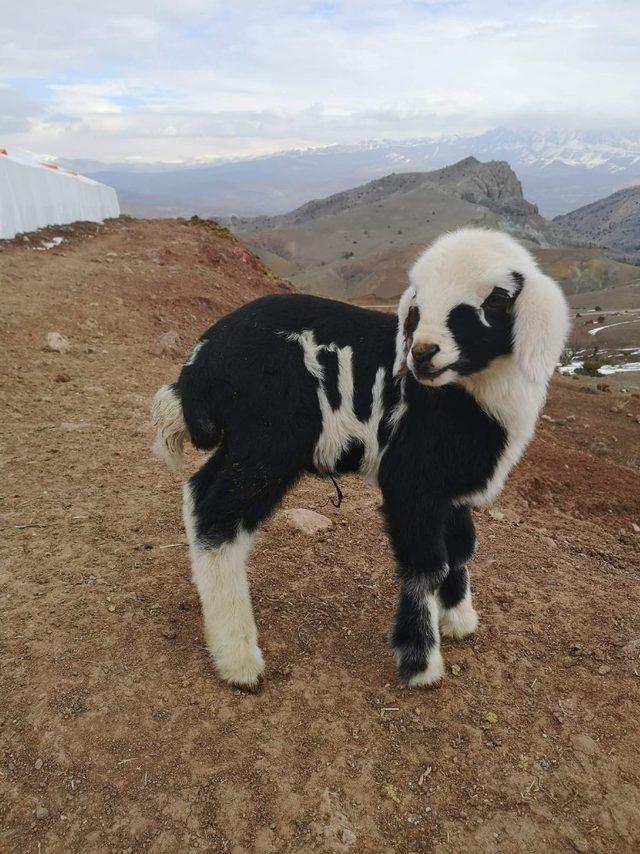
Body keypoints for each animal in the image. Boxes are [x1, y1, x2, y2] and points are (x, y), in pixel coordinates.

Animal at [151, 226, 568, 688]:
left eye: (495, 299)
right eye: (417, 305)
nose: (421, 354)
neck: (472, 399)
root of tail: (199, 364)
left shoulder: (450, 485)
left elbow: (461, 547)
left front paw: (459, 618)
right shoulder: (411, 478)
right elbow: (426, 565)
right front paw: (420, 663)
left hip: (245, 444)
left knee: (197, 494)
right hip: (268, 443)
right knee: (218, 517)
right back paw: (238, 658)